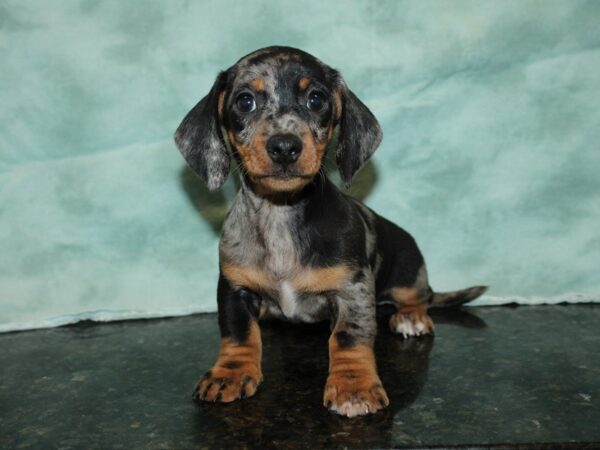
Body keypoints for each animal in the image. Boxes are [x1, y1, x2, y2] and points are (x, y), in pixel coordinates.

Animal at [175, 46, 488, 418]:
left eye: (316, 99)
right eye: (245, 101)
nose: (285, 147)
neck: (280, 213)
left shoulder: (352, 289)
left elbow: (348, 337)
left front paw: (353, 387)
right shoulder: (234, 287)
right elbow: (237, 334)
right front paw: (230, 373)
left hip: (408, 273)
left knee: (418, 296)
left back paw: (411, 317)